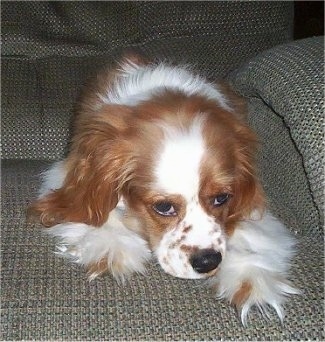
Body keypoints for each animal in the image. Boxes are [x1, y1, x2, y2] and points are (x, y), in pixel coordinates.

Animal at [29, 54, 298, 326]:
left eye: (222, 198)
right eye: (163, 207)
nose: (208, 262)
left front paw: (252, 273)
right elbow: (95, 206)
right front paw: (112, 244)